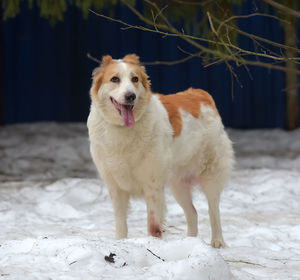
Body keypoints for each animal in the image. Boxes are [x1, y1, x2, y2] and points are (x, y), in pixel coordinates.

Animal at [87, 53, 234, 247]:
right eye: (115, 79)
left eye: (135, 79)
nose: (130, 96)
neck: (123, 129)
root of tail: (201, 94)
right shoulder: (115, 188)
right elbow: (120, 223)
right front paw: (120, 243)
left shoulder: (152, 186)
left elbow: (154, 226)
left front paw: (153, 245)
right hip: (178, 185)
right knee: (193, 213)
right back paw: (190, 242)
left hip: (210, 175)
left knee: (213, 211)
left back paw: (217, 241)